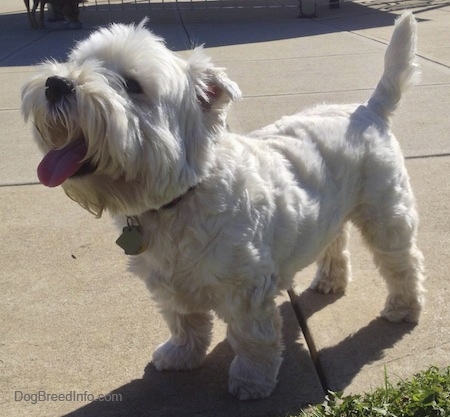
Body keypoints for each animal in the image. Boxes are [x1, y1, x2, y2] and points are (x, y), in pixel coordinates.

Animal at [22, 13, 426, 400]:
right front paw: (181, 355)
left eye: (132, 85)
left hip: (385, 212)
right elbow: (184, 322)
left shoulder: (246, 290)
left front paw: (252, 381)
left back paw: (402, 308)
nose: (56, 84)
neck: (180, 197)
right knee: (334, 239)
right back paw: (329, 281)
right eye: (79, 61)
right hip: (330, 210)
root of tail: (366, 110)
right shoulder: (167, 284)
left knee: (402, 261)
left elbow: (251, 339)